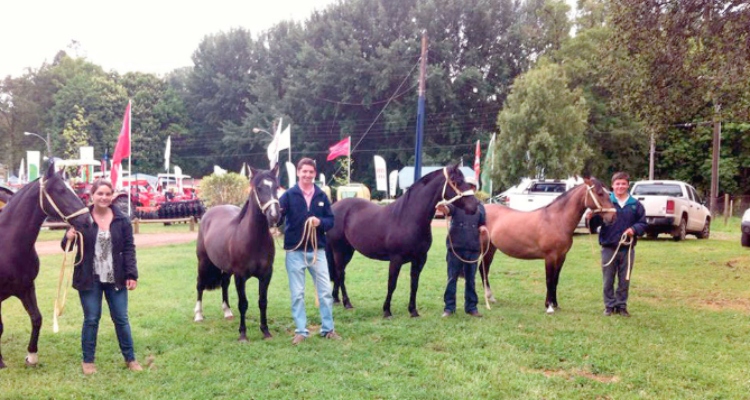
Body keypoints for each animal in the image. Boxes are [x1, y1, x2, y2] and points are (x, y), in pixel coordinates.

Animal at [0, 162, 92, 368]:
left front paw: (32, 355)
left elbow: (37, 318)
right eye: (60, 190)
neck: (7, 246)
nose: (87, 221)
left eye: (73, 189)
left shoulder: (26, 287)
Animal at [195, 165, 280, 340]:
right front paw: (243, 334)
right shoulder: (240, 276)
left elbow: (263, 302)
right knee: (199, 285)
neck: (254, 239)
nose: (274, 215)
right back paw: (198, 315)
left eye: (276, 187)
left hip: (225, 268)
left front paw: (265, 331)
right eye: (259, 188)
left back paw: (227, 312)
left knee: (224, 284)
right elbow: (243, 304)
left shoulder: (266, 274)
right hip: (203, 262)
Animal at [324, 164, 478, 318]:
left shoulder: (420, 259)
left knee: (339, 273)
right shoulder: (396, 259)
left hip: (348, 251)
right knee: (340, 273)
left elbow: (414, 284)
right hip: (339, 250)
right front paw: (387, 311)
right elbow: (392, 284)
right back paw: (347, 303)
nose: (475, 206)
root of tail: (334, 207)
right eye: (457, 181)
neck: (408, 217)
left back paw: (336, 299)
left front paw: (413, 311)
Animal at [482, 177, 616, 312]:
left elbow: (555, 280)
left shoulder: (561, 257)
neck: (556, 220)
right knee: (483, 269)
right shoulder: (550, 257)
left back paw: (490, 297)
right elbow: (549, 280)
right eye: (600, 193)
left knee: (485, 269)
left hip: (491, 248)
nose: (613, 216)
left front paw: (555, 304)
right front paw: (549, 306)